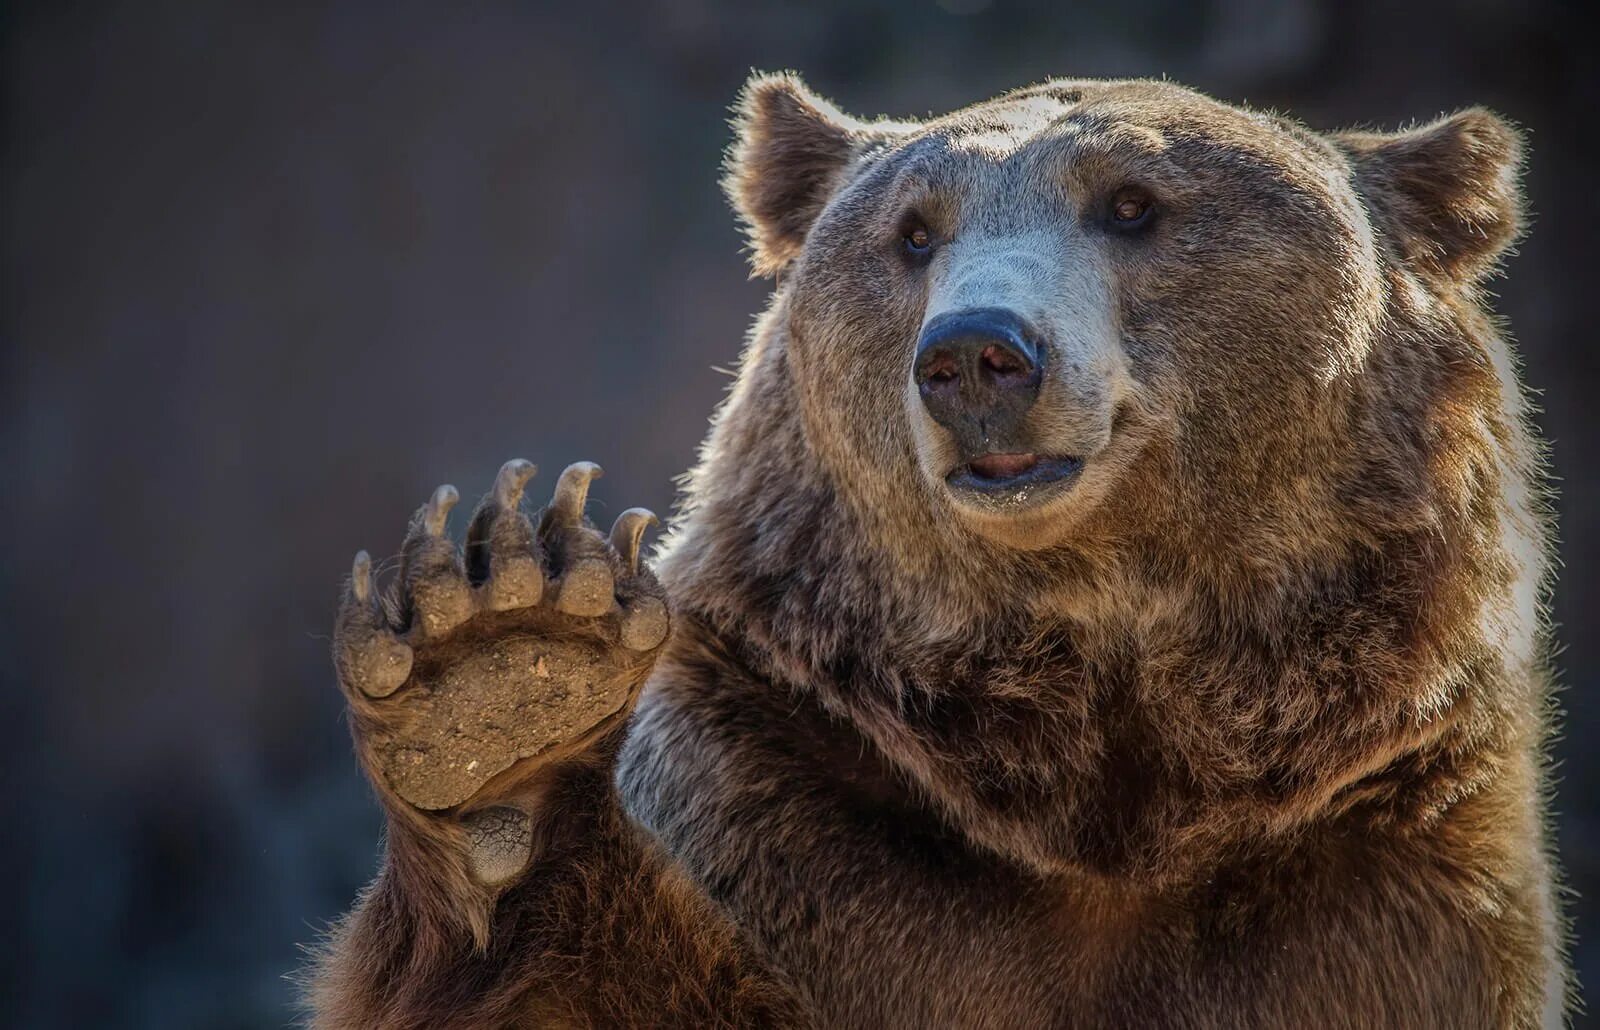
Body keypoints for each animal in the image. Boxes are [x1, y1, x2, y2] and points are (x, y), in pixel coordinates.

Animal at [305, 74, 1568, 1030]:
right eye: (912, 231)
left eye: (1132, 203)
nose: (975, 354)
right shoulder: (789, 804)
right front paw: (501, 683)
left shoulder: (1373, 876)